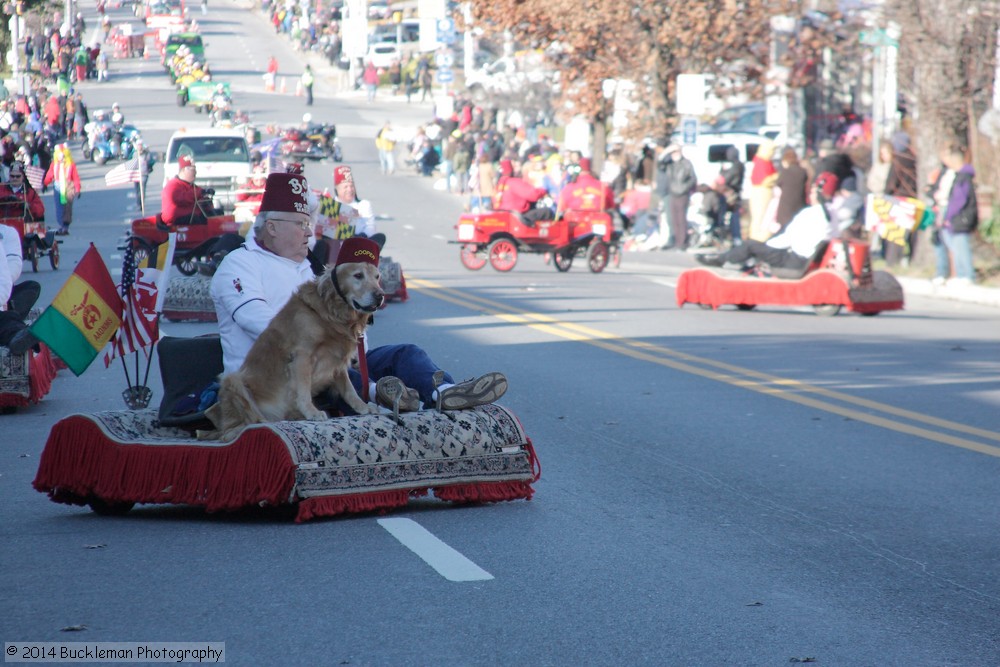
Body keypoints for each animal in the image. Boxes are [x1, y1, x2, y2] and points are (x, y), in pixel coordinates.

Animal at [198, 260, 382, 444]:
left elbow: (349, 390)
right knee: (234, 429)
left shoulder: (337, 361)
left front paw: (363, 407)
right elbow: (304, 389)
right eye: (358, 275)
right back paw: (261, 422)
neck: (329, 313)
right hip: (233, 380)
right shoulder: (302, 356)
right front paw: (311, 412)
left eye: (377, 277)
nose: (380, 295)